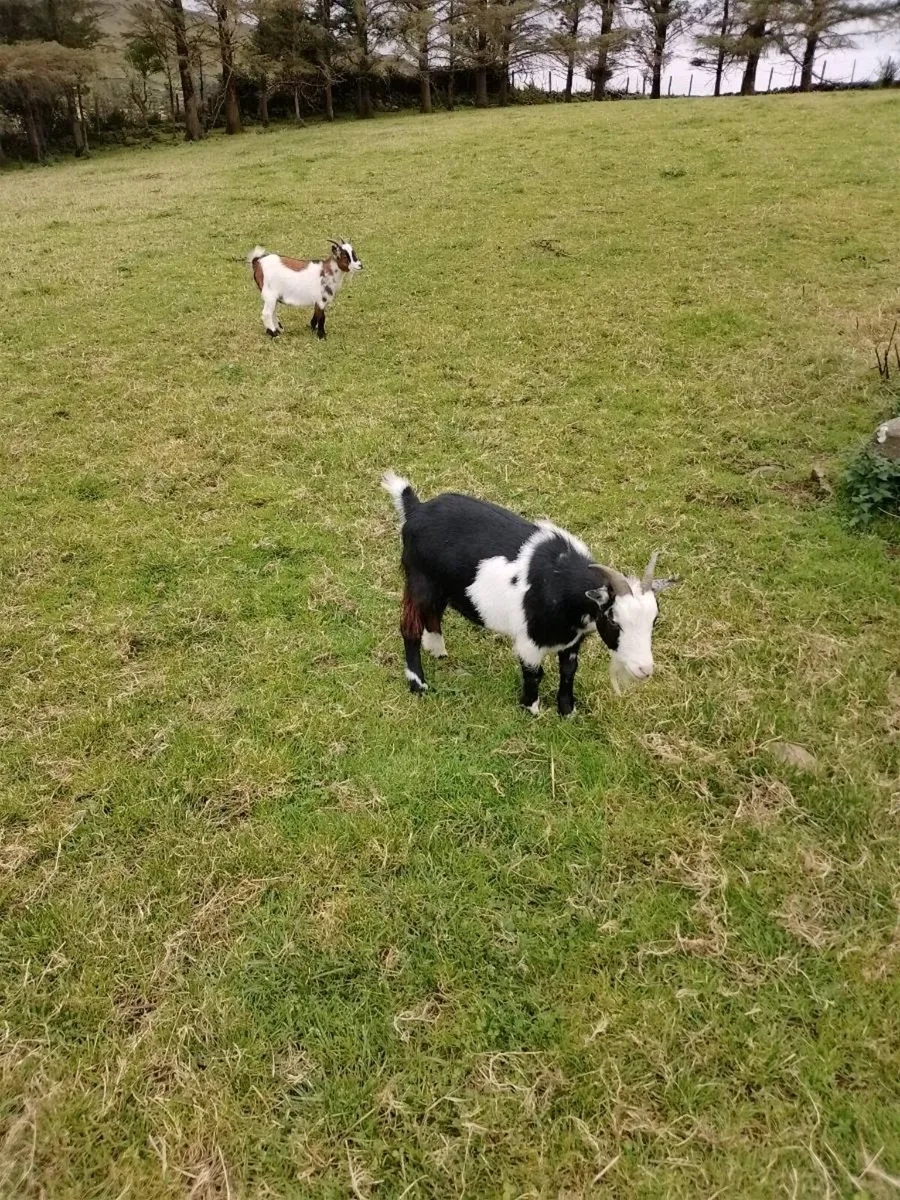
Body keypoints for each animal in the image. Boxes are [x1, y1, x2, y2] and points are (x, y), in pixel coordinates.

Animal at [382, 472, 678, 715]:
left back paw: (438, 651)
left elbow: (568, 672)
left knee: (434, 613)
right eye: (614, 620)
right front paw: (532, 708)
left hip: (439, 586)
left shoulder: (572, 640)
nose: (644, 670)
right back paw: (418, 682)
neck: (561, 581)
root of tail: (416, 509)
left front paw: (567, 711)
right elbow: (534, 672)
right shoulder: (530, 641)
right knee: (409, 626)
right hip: (419, 581)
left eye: (654, 620)